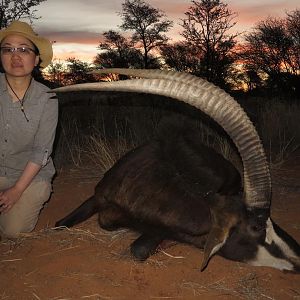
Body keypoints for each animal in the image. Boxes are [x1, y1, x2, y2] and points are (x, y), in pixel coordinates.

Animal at [54, 68, 300, 272]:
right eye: (256, 226)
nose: (298, 258)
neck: (143, 185)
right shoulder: (97, 196)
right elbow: (59, 225)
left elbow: (139, 249)